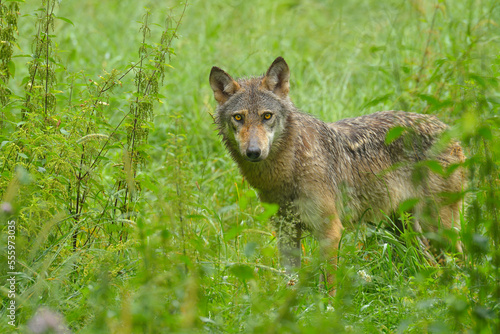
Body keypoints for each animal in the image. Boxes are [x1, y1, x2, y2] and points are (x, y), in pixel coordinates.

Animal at [209, 56, 466, 292]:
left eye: (267, 116)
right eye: (238, 117)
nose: (253, 152)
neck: (291, 167)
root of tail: (449, 130)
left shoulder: (330, 231)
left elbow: (329, 282)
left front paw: (328, 308)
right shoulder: (286, 231)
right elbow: (291, 280)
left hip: (437, 229)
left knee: (461, 260)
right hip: (403, 229)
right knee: (433, 265)